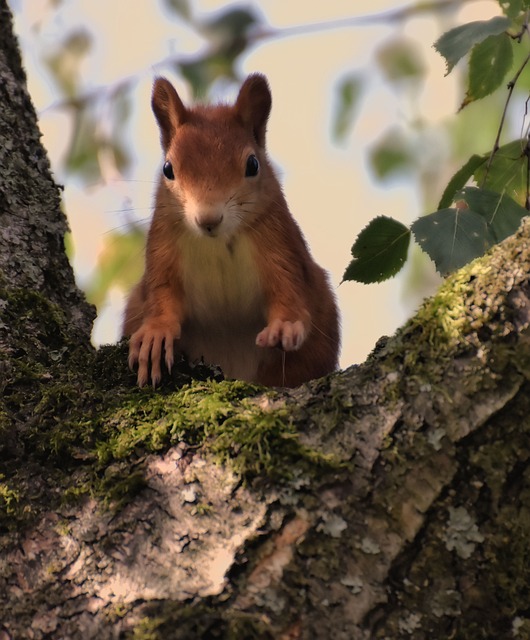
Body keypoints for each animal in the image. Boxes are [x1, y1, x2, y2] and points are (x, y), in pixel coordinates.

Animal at [122, 72, 338, 388]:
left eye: (253, 164)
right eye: (167, 169)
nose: (208, 219)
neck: (217, 243)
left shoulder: (280, 243)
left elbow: (290, 288)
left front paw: (285, 324)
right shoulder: (163, 247)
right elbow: (162, 293)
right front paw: (156, 331)